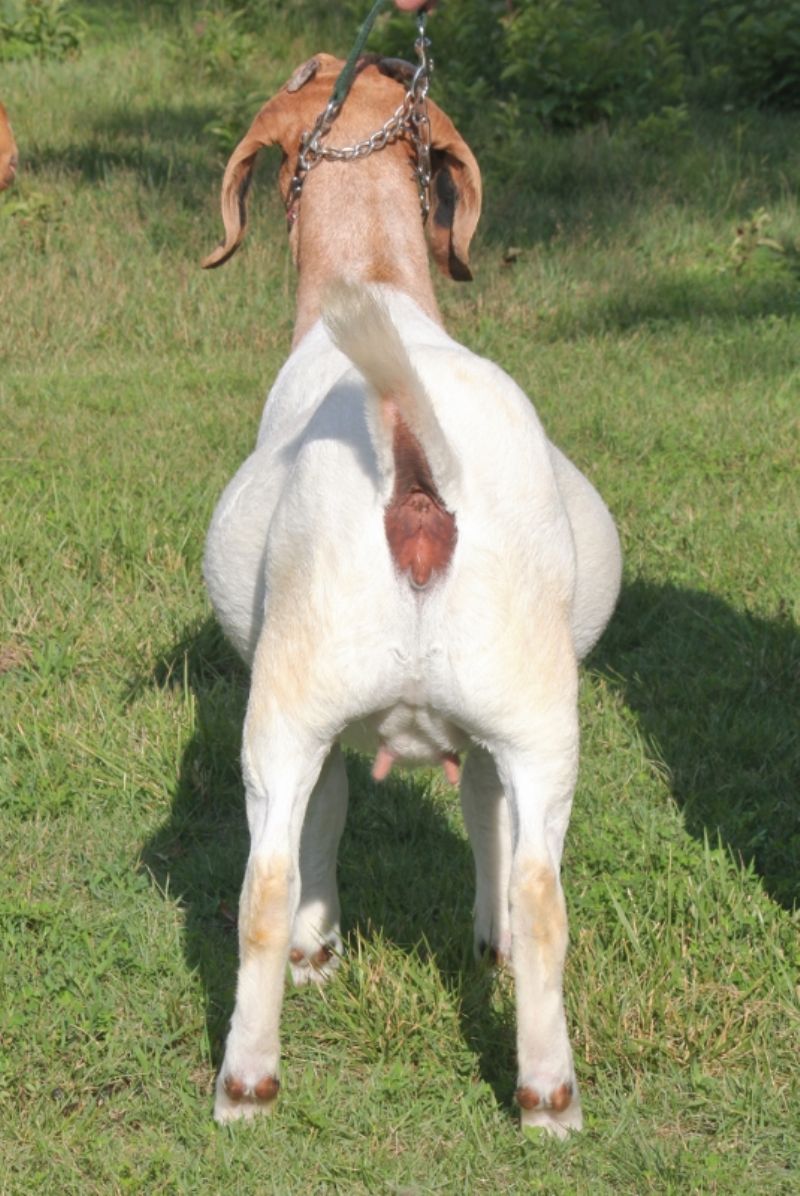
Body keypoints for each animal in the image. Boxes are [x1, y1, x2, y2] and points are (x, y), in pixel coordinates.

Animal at [202, 52, 621, 1136]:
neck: (378, 285)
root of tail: (414, 459)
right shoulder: (484, 733)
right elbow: (484, 824)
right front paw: (489, 949)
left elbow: (332, 816)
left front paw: (319, 952)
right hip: (531, 713)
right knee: (543, 891)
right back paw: (546, 1093)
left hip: (294, 697)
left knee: (265, 879)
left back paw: (247, 1080)